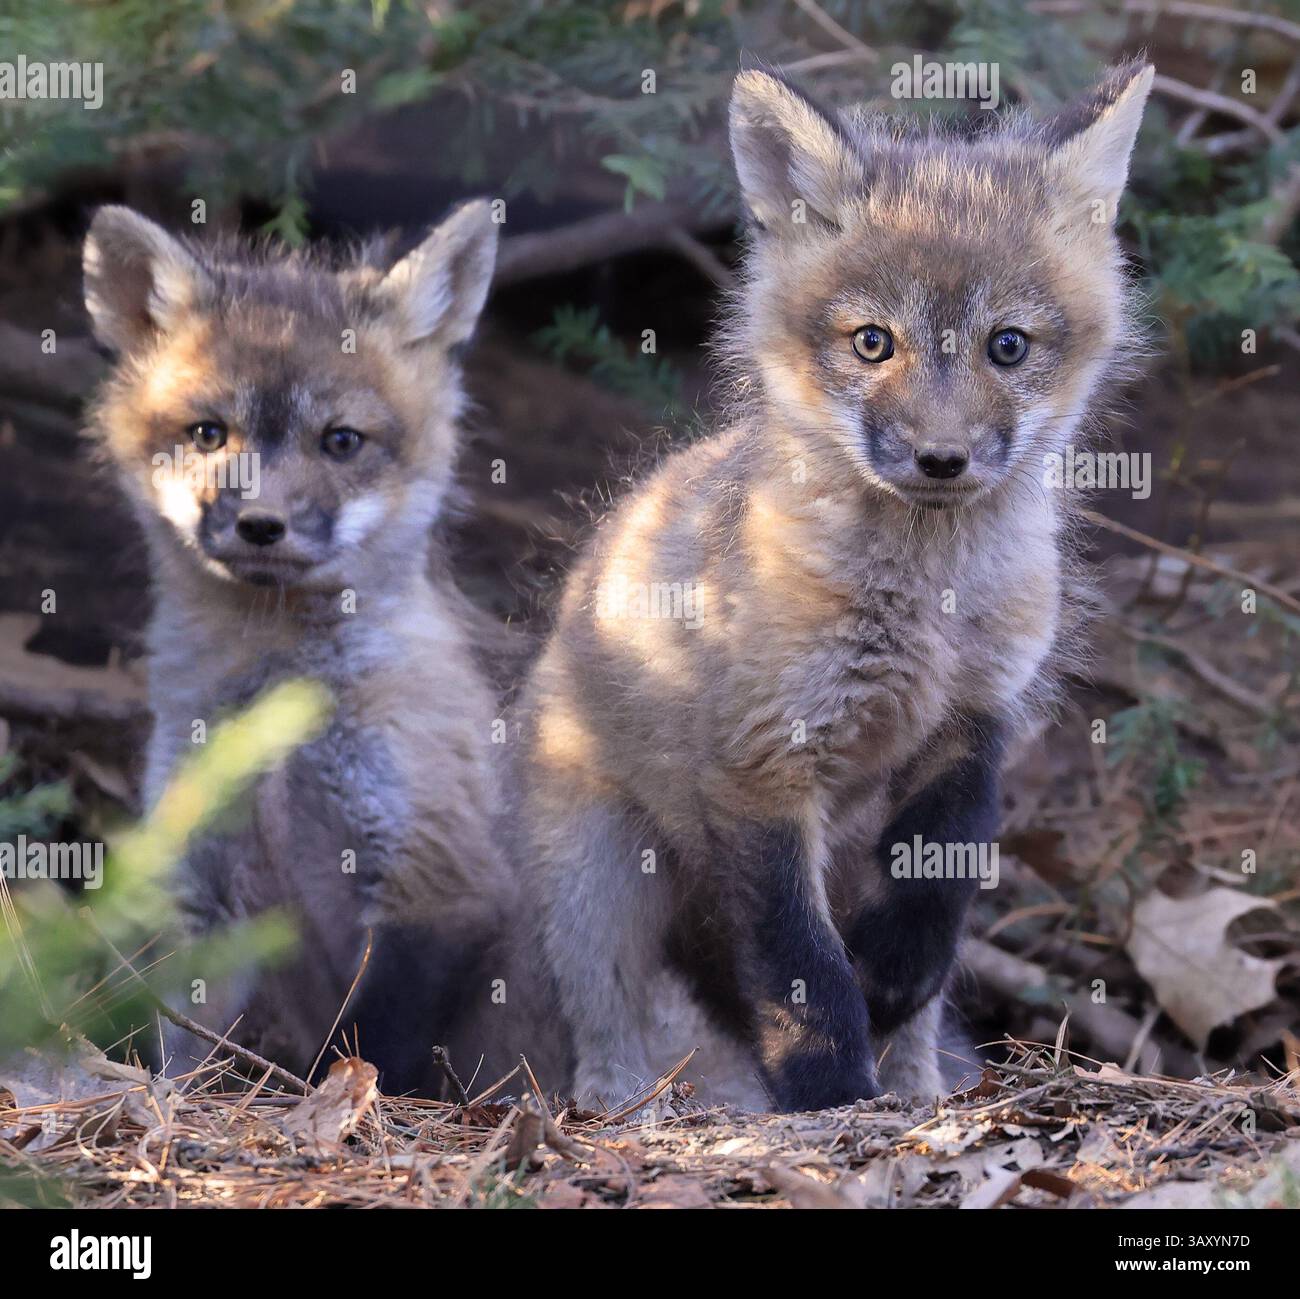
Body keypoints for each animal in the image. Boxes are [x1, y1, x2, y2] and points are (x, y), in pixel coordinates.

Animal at [83, 200, 519, 1092]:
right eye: (208, 432)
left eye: (341, 441)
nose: (261, 523)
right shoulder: (209, 883)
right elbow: (184, 1048)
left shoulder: (439, 882)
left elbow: (367, 1051)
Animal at [517, 62, 1154, 1112]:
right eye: (872, 343)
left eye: (1008, 346)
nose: (941, 459)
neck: (925, 611)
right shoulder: (762, 758)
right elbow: (799, 964)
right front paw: (827, 1091)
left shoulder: (975, 721)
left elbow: (931, 897)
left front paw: (891, 991)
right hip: (598, 882)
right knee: (605, 1028)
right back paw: (625, 1106)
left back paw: (923, 1086)